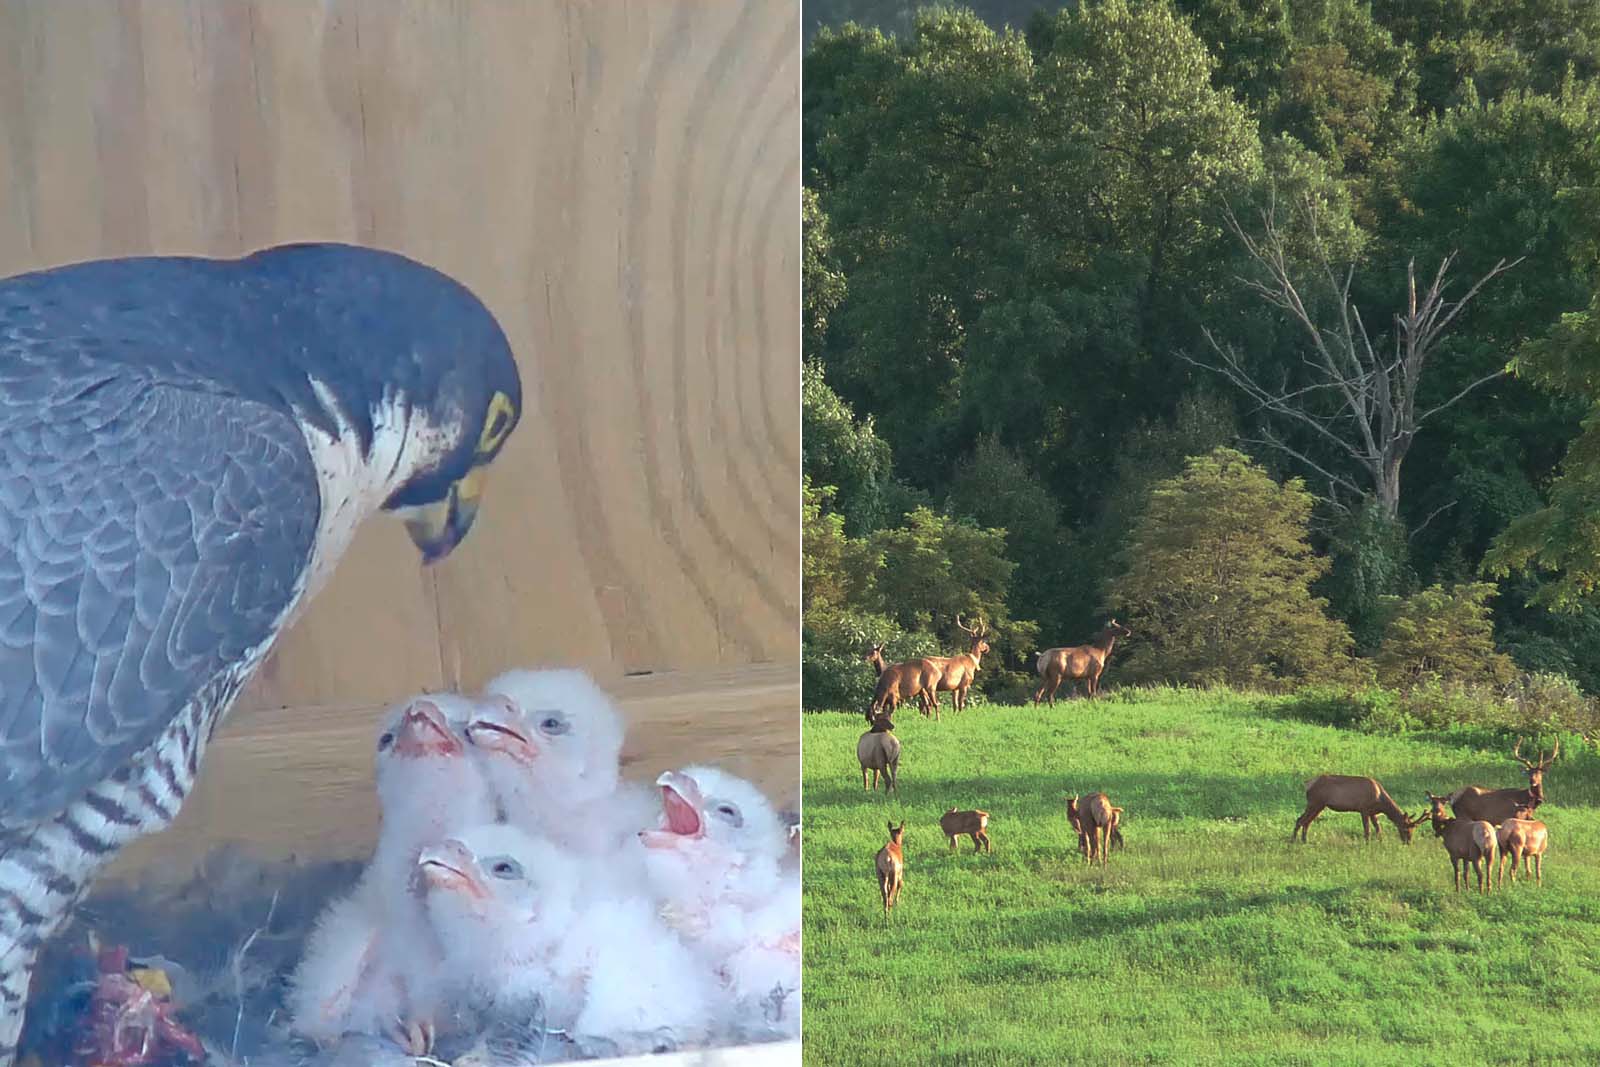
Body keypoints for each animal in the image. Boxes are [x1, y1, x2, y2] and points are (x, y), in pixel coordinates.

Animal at [1291, 775, 1428, 844]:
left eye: (1413, 829)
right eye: (1405, 829)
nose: (1408, 842)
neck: (1381, 801)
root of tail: (1307, 784)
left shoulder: (1373, 813)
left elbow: (1378, 828)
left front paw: (1380, 842)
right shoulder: (1364, 809)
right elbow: (1367, 830)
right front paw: (1367, 844)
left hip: (1319, 805)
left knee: (1306, 821)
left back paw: (1304, 841)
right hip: (1315, 802)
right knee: (1300, 820)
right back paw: (1293, 841)